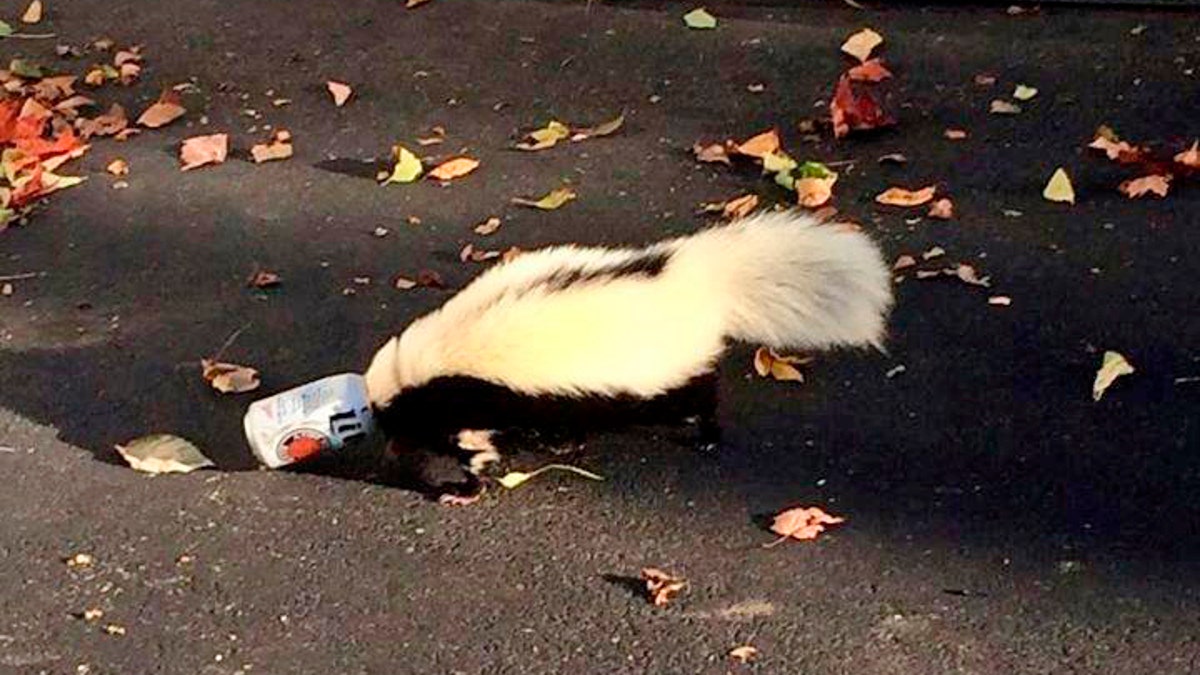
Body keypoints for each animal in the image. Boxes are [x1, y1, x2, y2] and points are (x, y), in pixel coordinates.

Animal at [364, 210, 892, 482]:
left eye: (391, 418)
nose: (385, 451)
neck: (420, 364)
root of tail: (692, 276)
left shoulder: (467, 392)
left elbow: (471, 436)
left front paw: (473, 468)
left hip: (668, 371)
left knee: (698, 392)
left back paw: (706, 434)